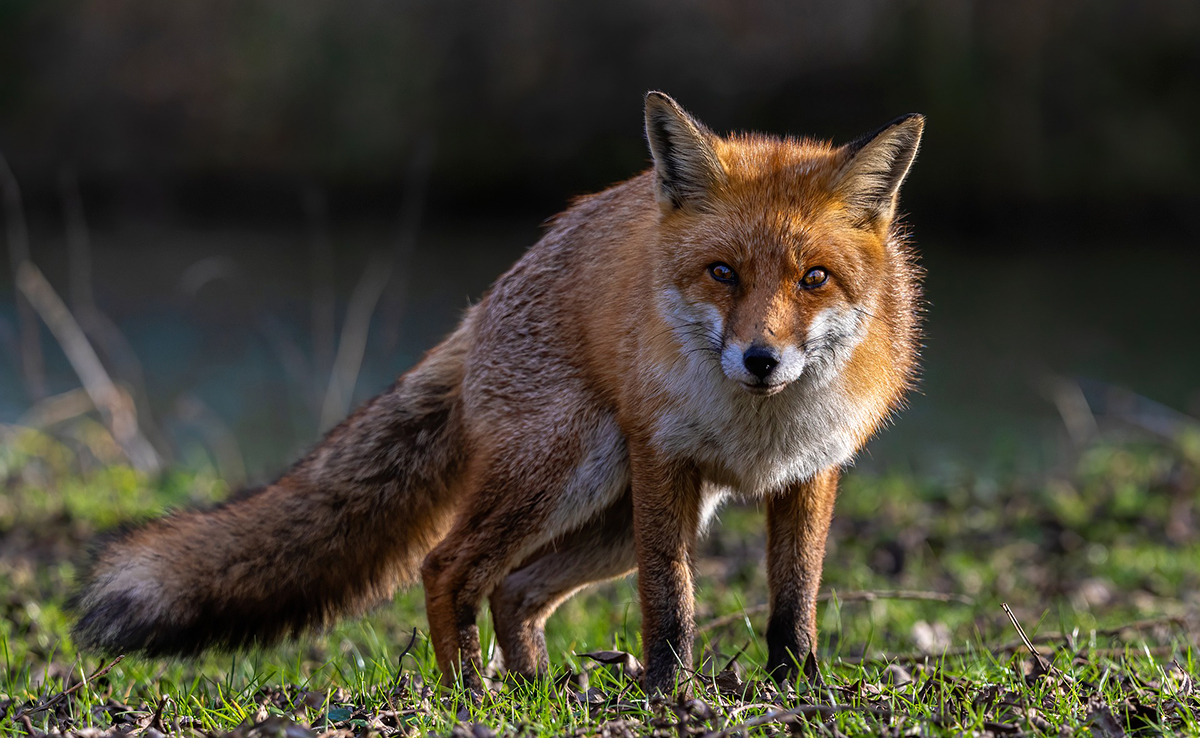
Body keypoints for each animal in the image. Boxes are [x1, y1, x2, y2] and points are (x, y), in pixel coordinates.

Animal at [70, 92, 921, 691]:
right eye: (723, 273)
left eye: (814, 279)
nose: (761, 359)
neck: (757, 429)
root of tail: (483, 305)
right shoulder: (663, 461)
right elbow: (670, 601)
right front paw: (669, 693)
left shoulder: (811, 472)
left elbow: (794, 600)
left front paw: (796, 687)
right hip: (573, 473)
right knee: (448, 567)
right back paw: (469, 694)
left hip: (611, 515)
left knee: (514, 588)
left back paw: (537, 688)